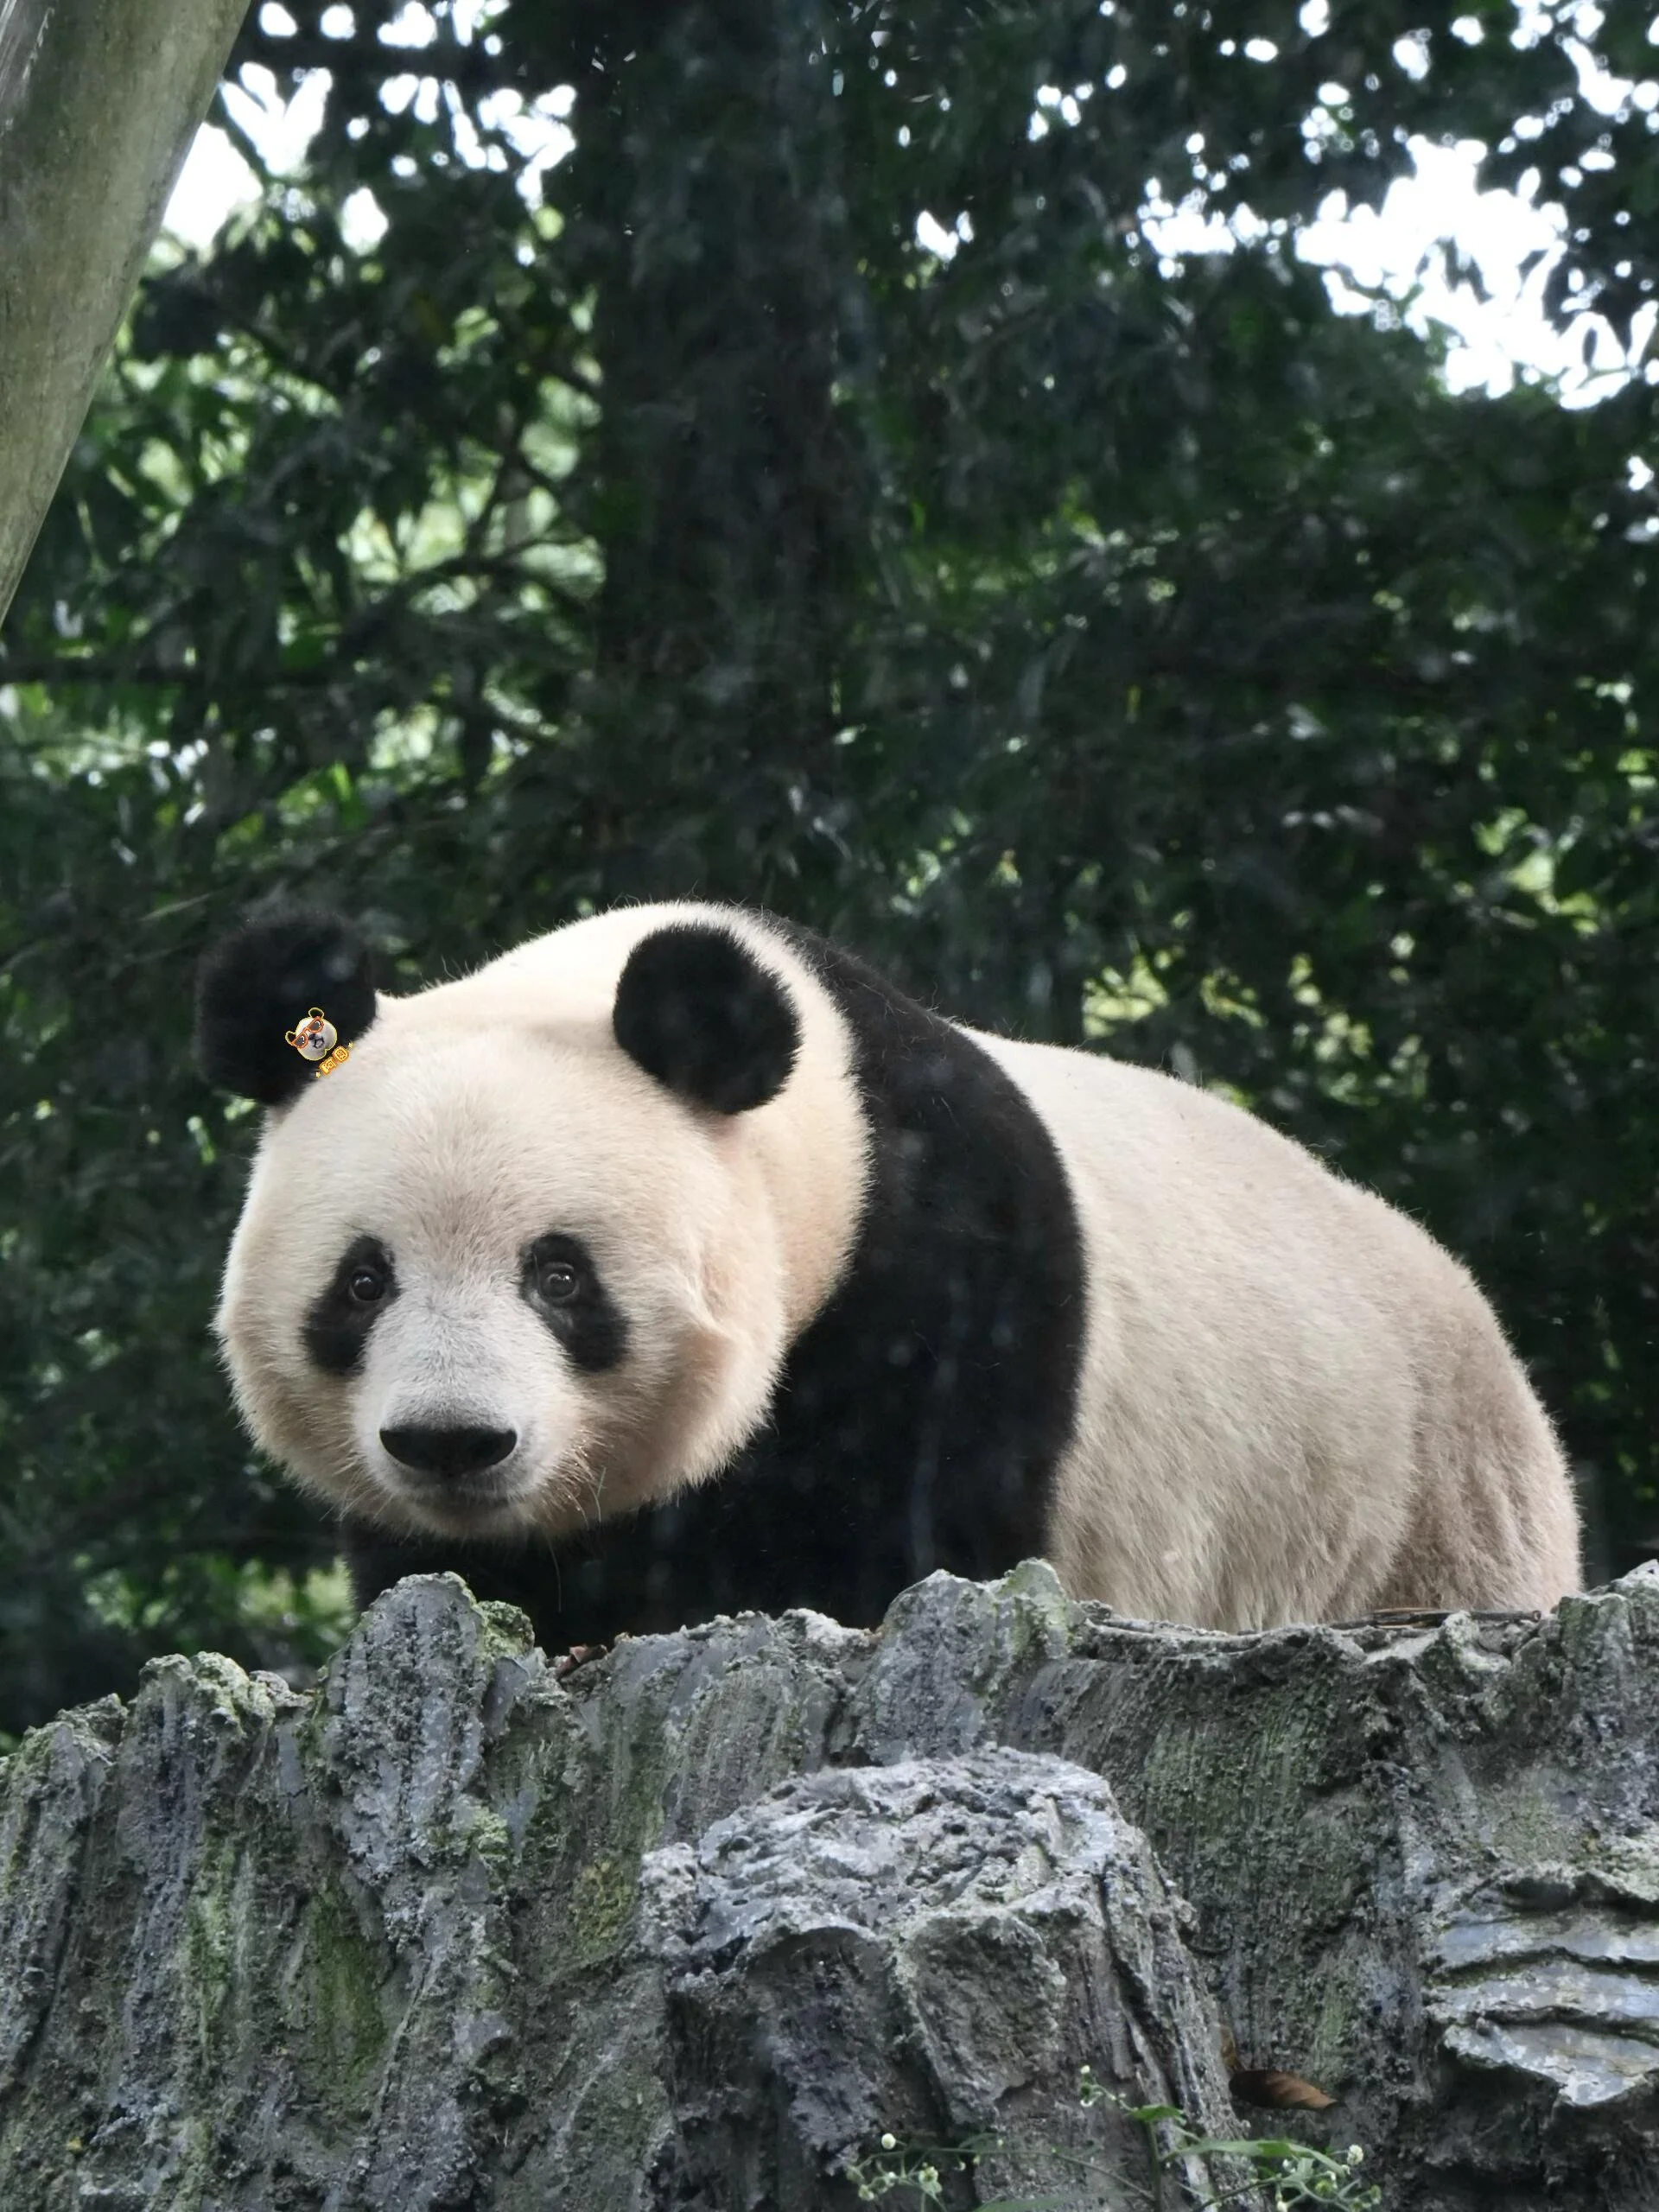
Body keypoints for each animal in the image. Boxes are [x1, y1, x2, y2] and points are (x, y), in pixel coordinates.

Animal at [193, 900, 1581, 1648]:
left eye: (561, 1278)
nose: (453, 1443)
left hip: (1416, 1509)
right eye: (362, 1283)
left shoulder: (946, 1279)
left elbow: (899, 1548)